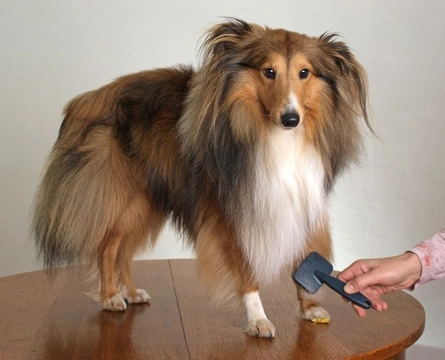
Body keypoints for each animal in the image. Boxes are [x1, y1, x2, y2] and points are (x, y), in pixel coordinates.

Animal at [32, 18, 372, 338]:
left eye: (304, 72)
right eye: (268, 71)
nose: (291, 118)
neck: (275, 138)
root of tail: (85, 100)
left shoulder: (301, 198)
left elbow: (306, 256)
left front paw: (310, 306)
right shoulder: (232, 213)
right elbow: (246, 270)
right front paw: (258, 319)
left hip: (147, 201)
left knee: (124, 250)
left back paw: (131, 292)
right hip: (125, 198)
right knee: (108, 248)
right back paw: (111, 297)